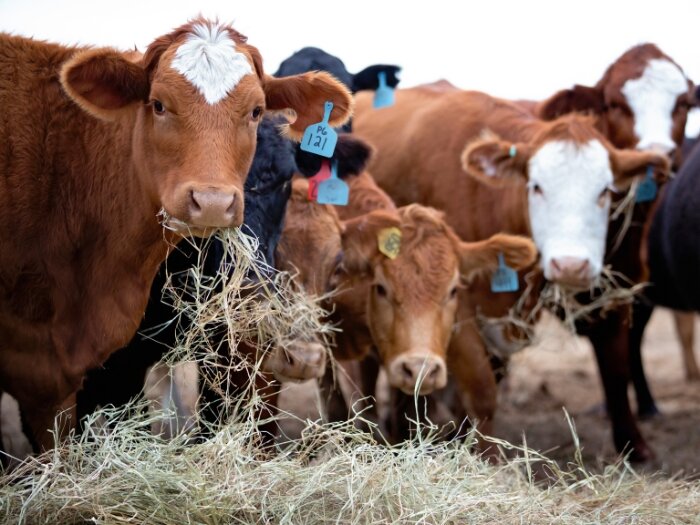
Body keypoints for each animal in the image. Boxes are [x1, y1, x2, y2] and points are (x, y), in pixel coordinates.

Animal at [353, 86, 671, 461]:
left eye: (605, 191)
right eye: (536, 187)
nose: (571, 264)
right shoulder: (457, 314)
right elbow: (482, 392)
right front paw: (487, 459)